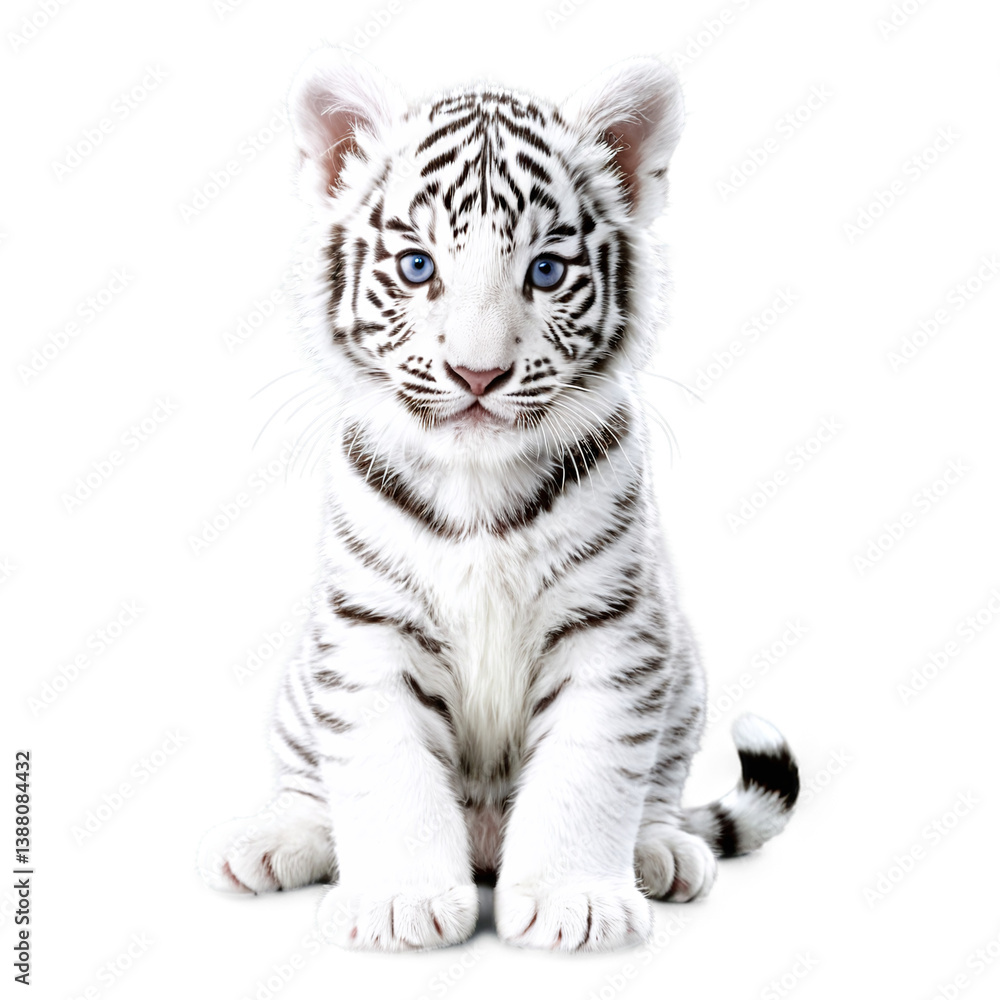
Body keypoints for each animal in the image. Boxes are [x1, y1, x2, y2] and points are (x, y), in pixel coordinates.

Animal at [197, 47, 799, 953]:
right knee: (310, 781)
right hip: (305, 680)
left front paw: (575, 900)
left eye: (544, 271)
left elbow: (590, 773)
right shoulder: (367, 629)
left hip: (682, 669)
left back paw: (661, 853)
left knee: (657, 792)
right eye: (418, 267)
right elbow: (383, 769)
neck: (477, 485)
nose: (477, 375)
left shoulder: (611, 631)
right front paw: (397, 902)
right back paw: (276, 843)